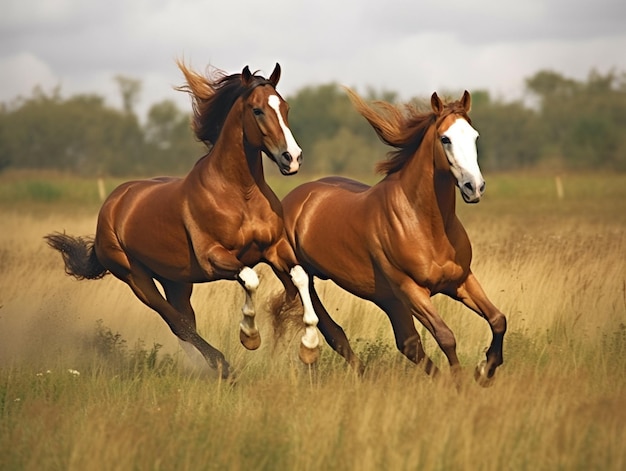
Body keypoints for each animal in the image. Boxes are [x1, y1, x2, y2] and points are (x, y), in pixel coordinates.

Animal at [44, 61, 320, 380]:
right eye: (257, 110)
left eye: (285, 107)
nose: (292, 158)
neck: (240, 193)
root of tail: (111, 206)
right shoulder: (214, 258)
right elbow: (250, 279)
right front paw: (249, 336)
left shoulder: (274, 248)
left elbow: (300, 277)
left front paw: (309, 347)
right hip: (135, 278)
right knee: (176, 321)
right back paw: (221, 364)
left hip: (175, 281)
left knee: (184, 322)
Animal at [270, 88, 504, 388]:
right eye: (445, 138)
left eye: (474, 136)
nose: (474, 187)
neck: (427, 224)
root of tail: (292, 201)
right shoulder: (411, 289)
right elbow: (446, 336)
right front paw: (461, 383)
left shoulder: (461, 280)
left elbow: (497, 319)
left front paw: (485, 371)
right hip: (304, 280)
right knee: (334, 332)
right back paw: (364, 375)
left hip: (386, 298)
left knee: (408, 343)